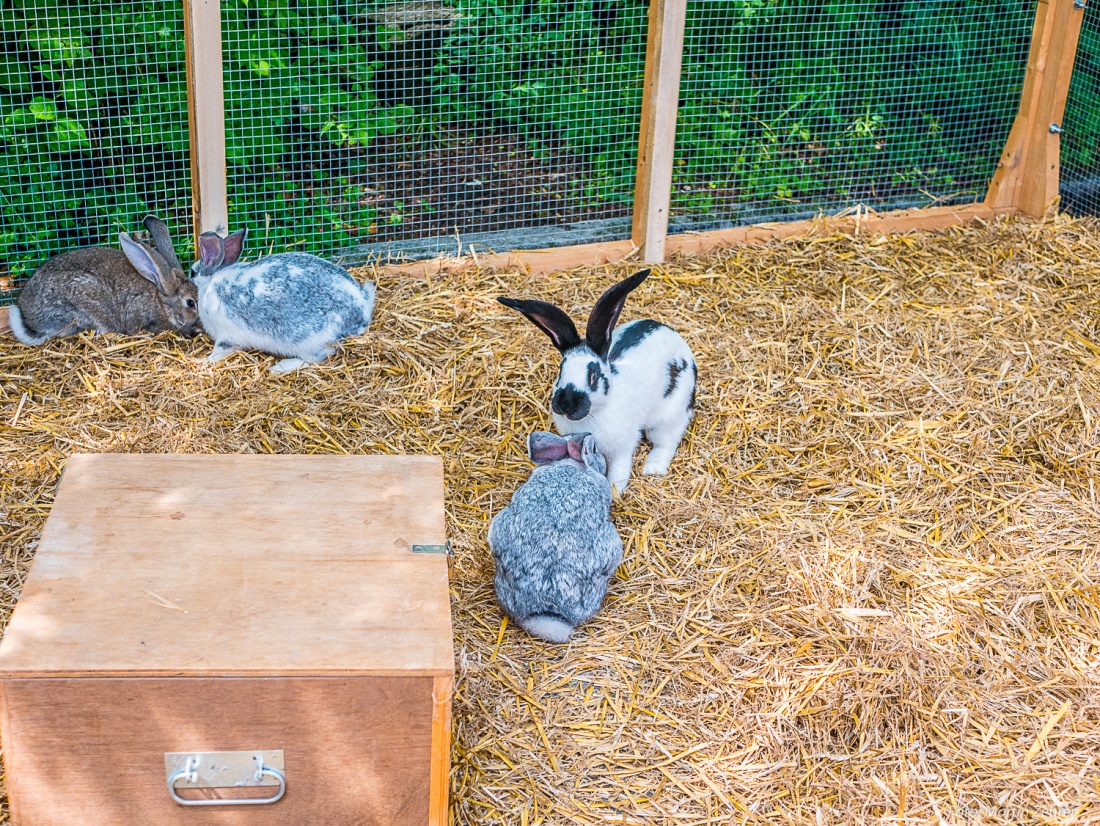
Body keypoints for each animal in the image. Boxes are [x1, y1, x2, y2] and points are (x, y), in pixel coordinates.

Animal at [191, 229, 376, 378]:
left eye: (193, 272)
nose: (190, 277)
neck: (210, 283)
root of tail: (362, 309)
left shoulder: (226, 337)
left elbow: (218, 353)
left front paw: (202, 361)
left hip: (311, 341)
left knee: (318, 357)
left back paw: (280, 367)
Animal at [499, 271, 695, 494]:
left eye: (593, 376)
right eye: (561, 370)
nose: (566, 406)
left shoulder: (622, 449)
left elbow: (618, 473)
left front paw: (614, 493)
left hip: (669, 416)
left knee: (666, 442)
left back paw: (652, 469)